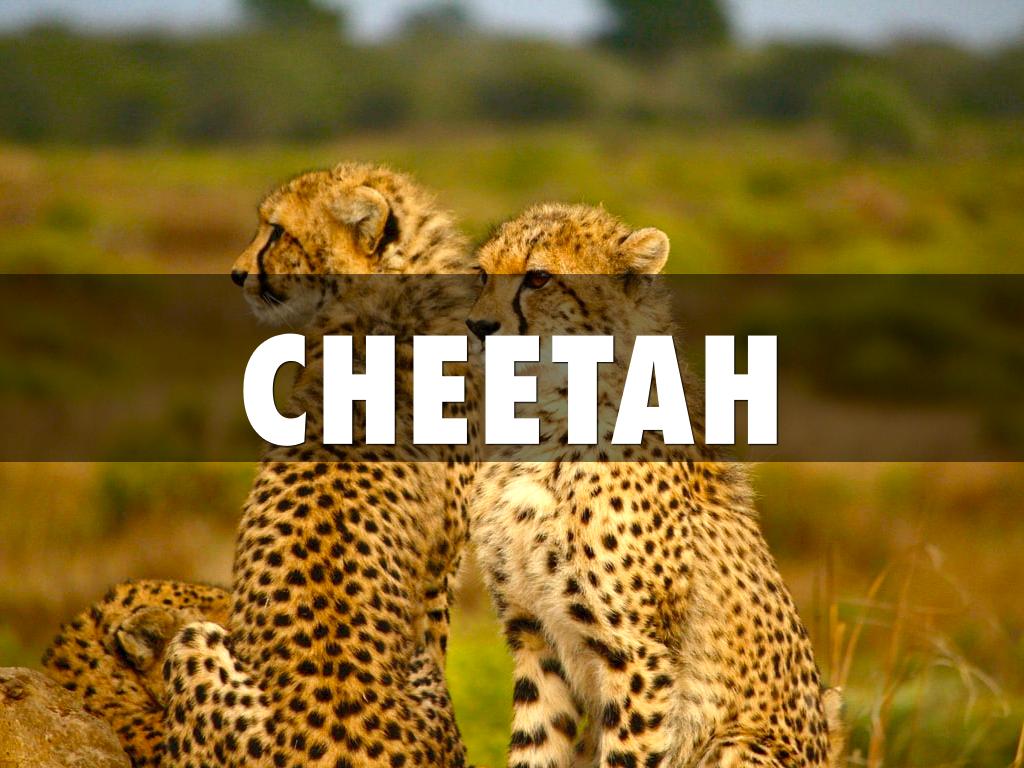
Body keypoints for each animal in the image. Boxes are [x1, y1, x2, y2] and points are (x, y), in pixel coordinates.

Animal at [464, 203, 844, 768]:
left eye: (538, 277)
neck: (544, 414)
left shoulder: (639, 655)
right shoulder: (534, 637)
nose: (477, 326)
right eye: (482, 274)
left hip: (736, 745)